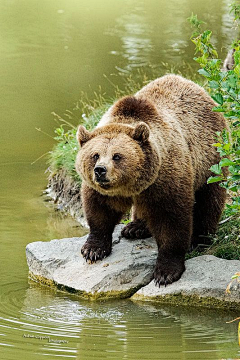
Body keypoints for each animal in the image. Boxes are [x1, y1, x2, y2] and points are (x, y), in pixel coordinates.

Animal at [75, 74, 227, 286]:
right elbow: (99, 210)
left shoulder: (165, 177)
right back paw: (135, 228)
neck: (129, 186)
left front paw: (166, 272)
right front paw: (93, 249)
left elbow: (170, 220)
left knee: (209, 198)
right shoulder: (102, 190)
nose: (100, 171)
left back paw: (200, 238)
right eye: (95, 155)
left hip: (210, 158)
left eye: (117, 156)